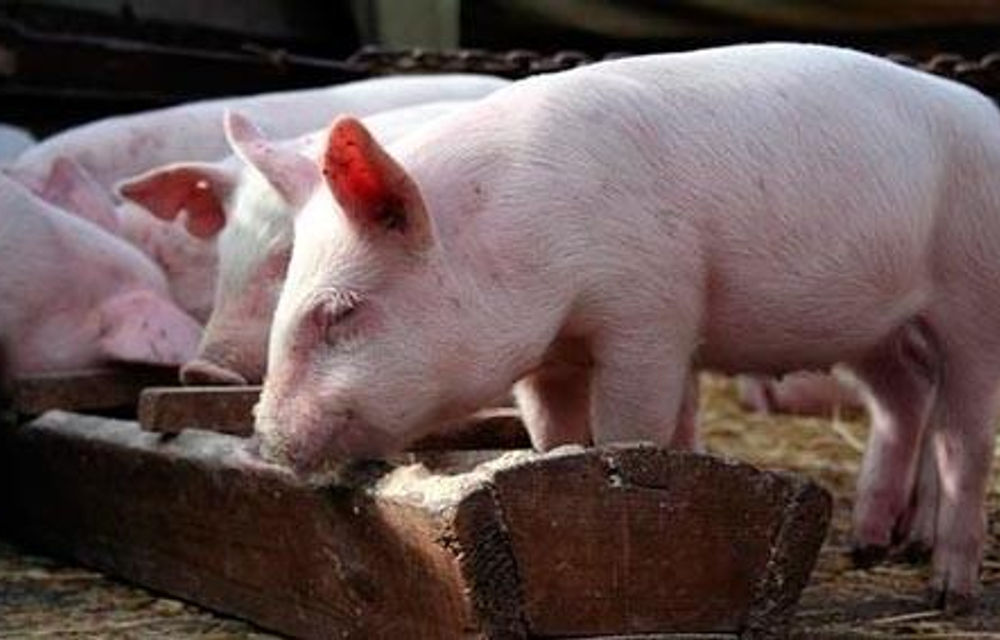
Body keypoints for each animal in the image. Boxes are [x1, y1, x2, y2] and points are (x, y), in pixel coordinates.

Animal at [253, 43, 1000, 609]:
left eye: (343, 311)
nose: (265, 437)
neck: (526, 240)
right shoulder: (547, 358)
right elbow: (552, 434)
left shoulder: (651, 313)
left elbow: (627, 428)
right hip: (877, 326)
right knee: (905, 399)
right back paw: (872, 548)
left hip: (971, 291)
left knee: (964, 437)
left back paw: (947, 593)